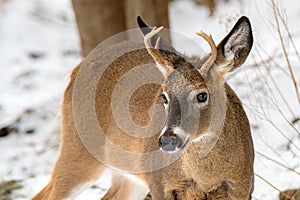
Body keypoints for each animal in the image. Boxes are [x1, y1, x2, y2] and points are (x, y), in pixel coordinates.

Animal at [32, 16, 253, 200]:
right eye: (164, 96)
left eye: (202, 95)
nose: (167, 140)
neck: (205, 180)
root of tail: (78, 67)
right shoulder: (159, 186)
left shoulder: (244, 187)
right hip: (79, 147)